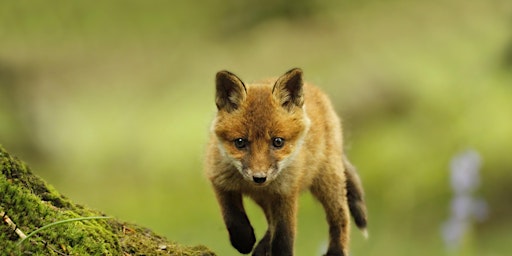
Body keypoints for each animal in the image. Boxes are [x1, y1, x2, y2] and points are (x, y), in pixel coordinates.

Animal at [205, 68, 368, 256]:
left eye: (278, 142)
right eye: (240, 142)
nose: (259, 178)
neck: (253, 186)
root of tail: (314, 89)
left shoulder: (286, 192)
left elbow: (284, 237)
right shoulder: (219, 180)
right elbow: (233, 218)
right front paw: (244, 240)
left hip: (328, 182)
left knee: (341, 217)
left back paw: (336, 251)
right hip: (265, 199)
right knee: (270, 223)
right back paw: (261, 248)